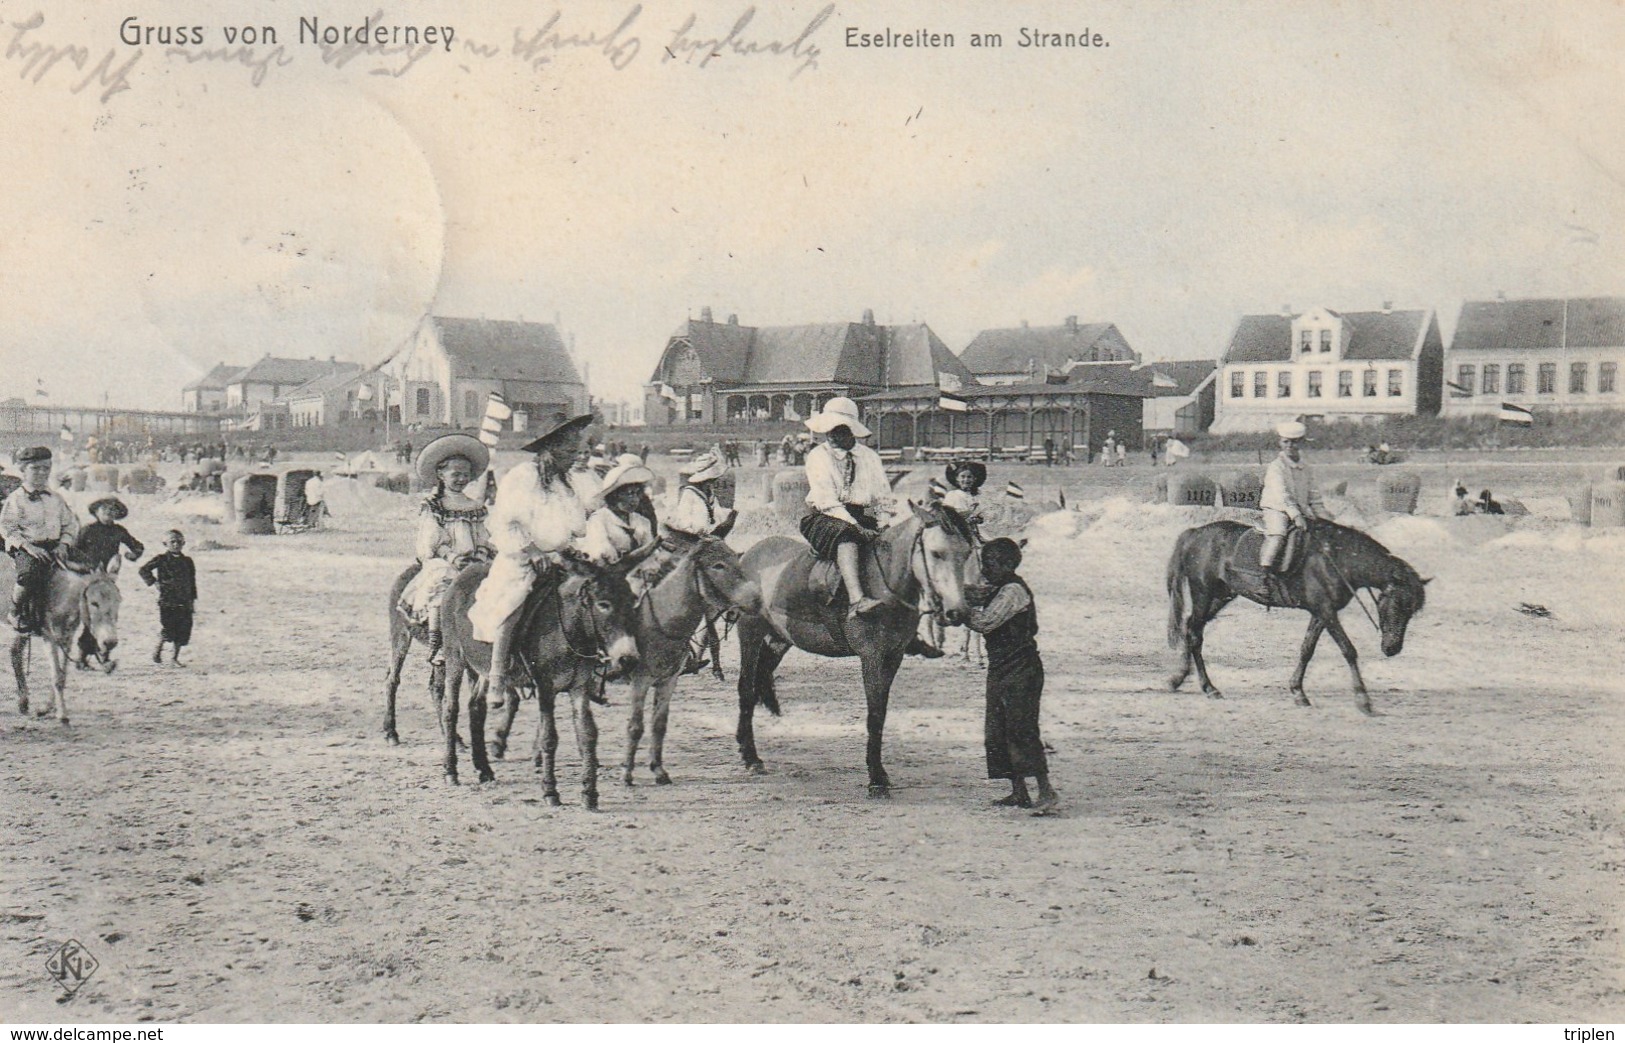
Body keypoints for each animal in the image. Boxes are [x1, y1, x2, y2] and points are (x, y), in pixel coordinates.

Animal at [1, 552, 121, 721]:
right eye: (94, 603)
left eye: (118, 600)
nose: (110, 642)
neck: (61, 593)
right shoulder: (49, 638)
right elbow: (56, 676)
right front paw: (62, 714)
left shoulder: (66, 639)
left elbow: (61, 676)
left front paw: (45, 708)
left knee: (15, 654)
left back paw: (23, 703)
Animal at [438, 555, 640, 809]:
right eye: (603, 604)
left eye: (633, 601)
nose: (628, 659)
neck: (568, 629)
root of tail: (461, 575)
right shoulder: (546, 686)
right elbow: (549, 736)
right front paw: (550, 791)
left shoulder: (579, 686)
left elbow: (587, 734)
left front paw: (589, 794)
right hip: (455, 656)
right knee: (450, 709)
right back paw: (450, 771)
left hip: (483, 668)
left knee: (476, 707)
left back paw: (484, 769)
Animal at [617, 532, 763, 783]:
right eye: (718, 565)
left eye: (736, 559)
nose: (756, 599)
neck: (659, 618)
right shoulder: (639, 681)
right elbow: (635, 726)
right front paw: (627, 773)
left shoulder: (668, 681)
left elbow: (659, 725)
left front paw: (658, 770)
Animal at [737, 503, 975, 796]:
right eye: (936, 553)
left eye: (966, 553)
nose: (957, 612)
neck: (884, 584)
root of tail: (749, 554)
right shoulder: (871, 656)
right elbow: (874, 715)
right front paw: (876, 779)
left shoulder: (893, 656)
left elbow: (881, 714)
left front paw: (880, 773)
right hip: (750, 631)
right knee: (746, 689)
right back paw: (751, 757)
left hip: (779, 639)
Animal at [1170, 513, 1423, 711]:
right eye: (1397, 605)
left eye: (1412, 611)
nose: (1392, 648)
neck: (1336, 558)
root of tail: (1194, 533)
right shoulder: (1327, 611)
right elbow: (1348, 650)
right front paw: (1363, 699)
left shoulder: (1321, 613)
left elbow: (1306, 650)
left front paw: (1297, 691)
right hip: (1203, 594)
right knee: (1194, 634)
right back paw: (1208, 687)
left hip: (1220, 596)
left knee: (1191, 629)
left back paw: (1179, 679)